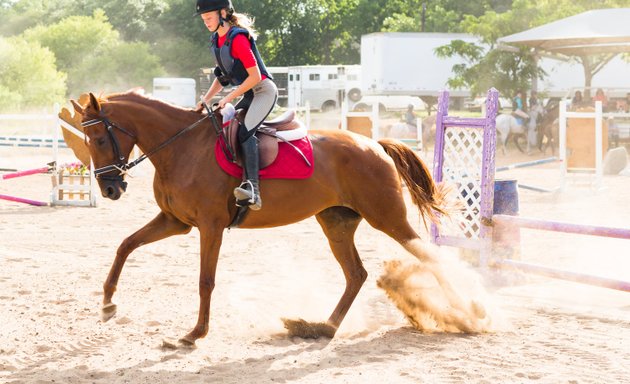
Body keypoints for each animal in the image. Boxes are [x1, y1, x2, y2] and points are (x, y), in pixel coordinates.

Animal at [73, 91, 450, 346]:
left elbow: (205, 281)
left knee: (430, 255)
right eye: (86, 141)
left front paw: (195, 334)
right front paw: (107, 303)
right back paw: (321, 327)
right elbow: (126, 245)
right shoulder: (174, 221)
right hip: (336, 223)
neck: (180, 147)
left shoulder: (210, 226)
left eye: (101, 138)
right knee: (356, 274)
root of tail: (375, 145)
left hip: (387, 218)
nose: (110, 188)